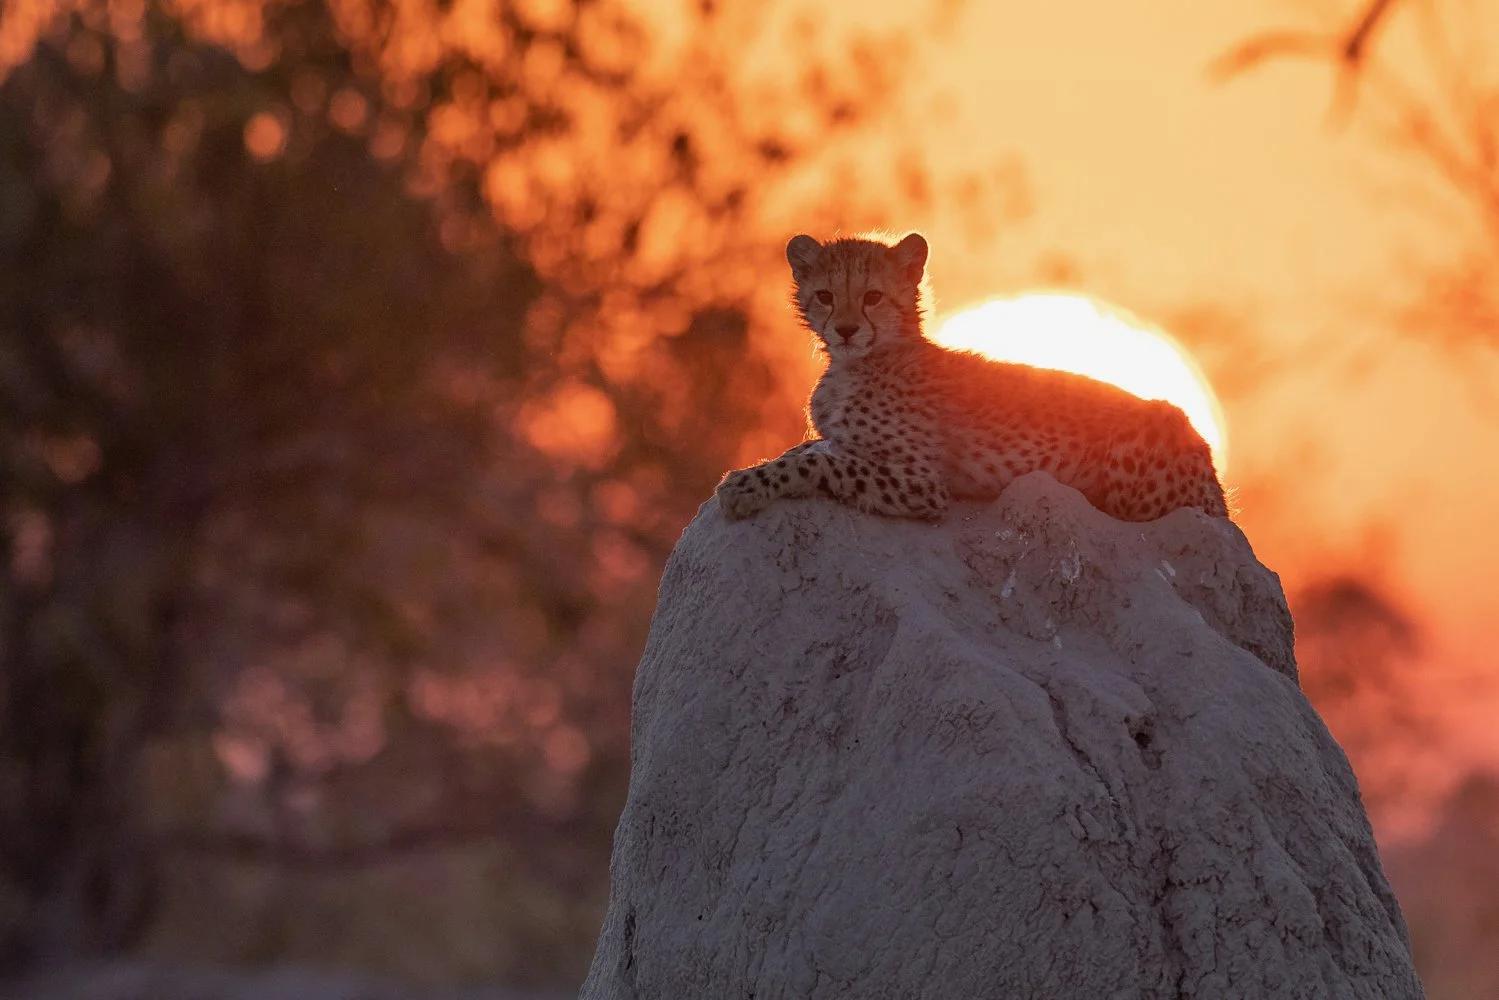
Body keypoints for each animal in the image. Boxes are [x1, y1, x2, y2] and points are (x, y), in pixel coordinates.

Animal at [714, 231, 1228, 523]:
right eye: (824, 295)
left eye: (873, 297)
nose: (845, 329)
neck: (856, 365)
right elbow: (812, 449)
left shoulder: (921, 480)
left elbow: (821, 464)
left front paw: (744, 486)